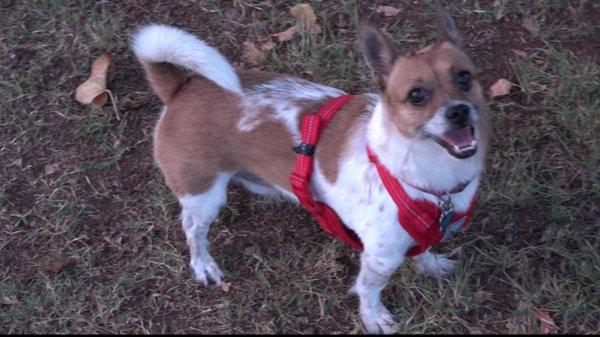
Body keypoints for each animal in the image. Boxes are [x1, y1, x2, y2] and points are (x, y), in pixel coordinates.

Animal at [130, 1, 488, 334]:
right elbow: (369, 290)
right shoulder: (380, 257)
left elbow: (424, 249)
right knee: (193, 229)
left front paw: (431, 265)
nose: (458, 111)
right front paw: (374, 318)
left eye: (464, 77)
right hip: (203, 195)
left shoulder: (421, 233)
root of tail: (181, 86)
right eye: (416, 95)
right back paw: (204, 264)